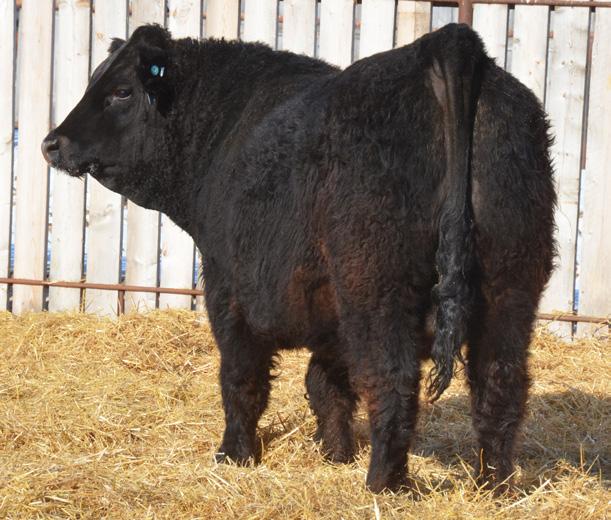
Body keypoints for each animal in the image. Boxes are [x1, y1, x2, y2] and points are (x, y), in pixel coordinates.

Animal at [41, 23, 556, 493]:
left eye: (121, 91)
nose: (52, 143)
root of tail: (444, 43)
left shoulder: (227, 286)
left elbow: (242, 377)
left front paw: (234, 454)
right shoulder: (329, 311)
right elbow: (325, 384)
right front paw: (335, 453)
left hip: (378, 289)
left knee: (393, 383)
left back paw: (382, 486)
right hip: (511, 287)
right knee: (500, 385)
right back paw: (493, 487)